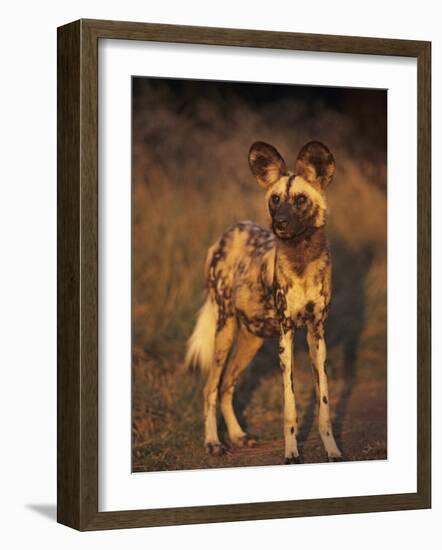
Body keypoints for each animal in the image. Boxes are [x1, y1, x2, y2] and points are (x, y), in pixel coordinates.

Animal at [186, 140, 342, 464]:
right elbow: (290, 407)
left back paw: (238, 436)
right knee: (210, 388)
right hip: (225, 330)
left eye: (299, 200)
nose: (279, 223)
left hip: (251, 339)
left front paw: (333, 450)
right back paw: (213, 442)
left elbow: (324, 403)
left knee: (226, 386)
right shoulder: (286, 336)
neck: (301, 259)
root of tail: (225, 236)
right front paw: (292, 453)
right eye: (275, 199)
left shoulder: (316, 334)